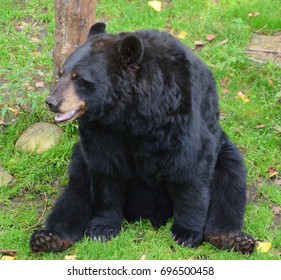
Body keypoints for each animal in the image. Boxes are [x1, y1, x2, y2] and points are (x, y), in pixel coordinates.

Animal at [29, 21, 255, 254]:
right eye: (61, 73)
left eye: (79, 78)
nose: (52, 102)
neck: (129, 113)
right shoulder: (102, 131)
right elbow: (105, 171)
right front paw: (102, 229)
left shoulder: (178, 111)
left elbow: (190, 166)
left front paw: (186, 233)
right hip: (79, 158)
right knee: (76, 190)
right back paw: (50, 238)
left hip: (224, 150)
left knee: (230, 182)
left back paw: (230, 237)